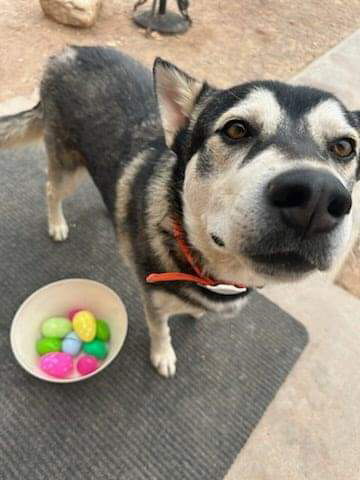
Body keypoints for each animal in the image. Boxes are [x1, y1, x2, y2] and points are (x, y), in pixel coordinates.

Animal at [0, 47, 358, 378]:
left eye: (344, 147)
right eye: (236, 129)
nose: (317, 197)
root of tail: (68, 51)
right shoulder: (154, 301)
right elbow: (160, 329)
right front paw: (163, 356)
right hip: (68, 167)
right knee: (50, 189)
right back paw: (57, 224)